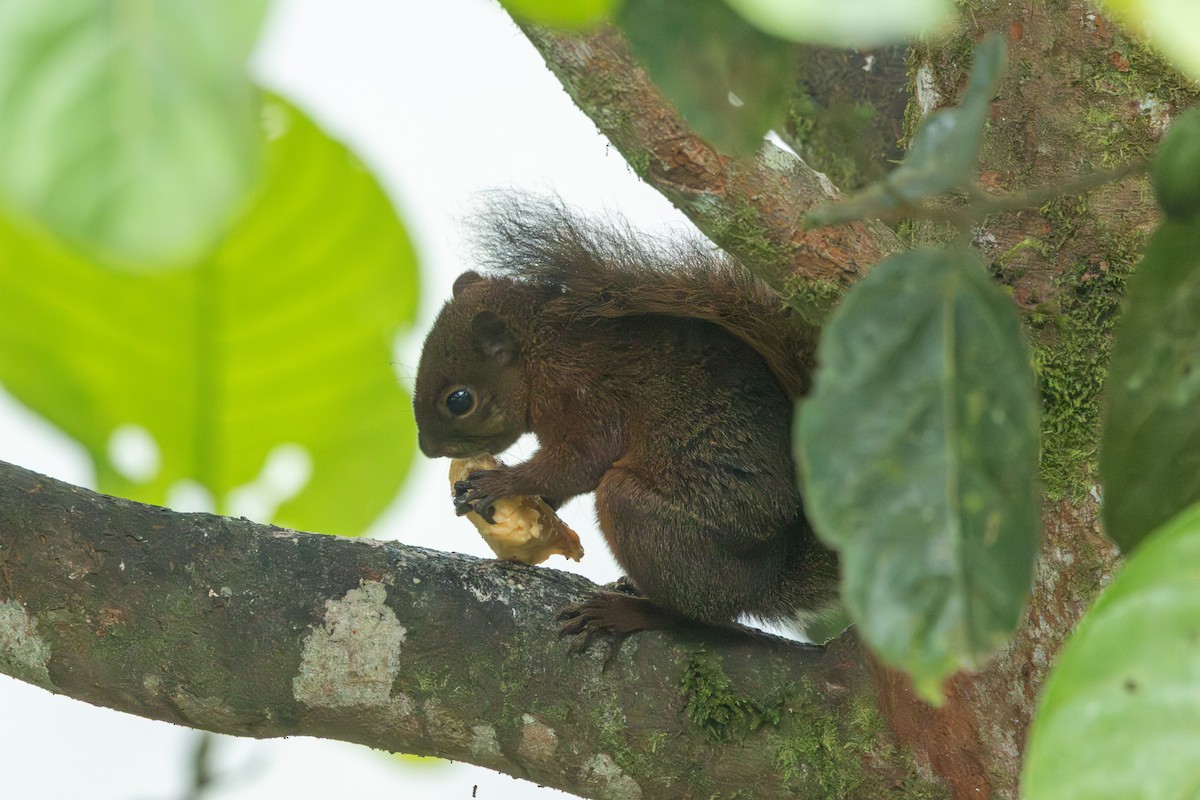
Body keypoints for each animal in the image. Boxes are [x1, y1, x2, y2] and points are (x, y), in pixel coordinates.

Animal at [413, 196, 841, 647]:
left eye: (459, 400)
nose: (427, 448)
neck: (539, 352)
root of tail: (762, 585)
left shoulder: (586, 395)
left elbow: (584, 461)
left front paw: (500, 484)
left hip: (650, 520)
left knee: (695, 613)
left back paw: (627, 611)